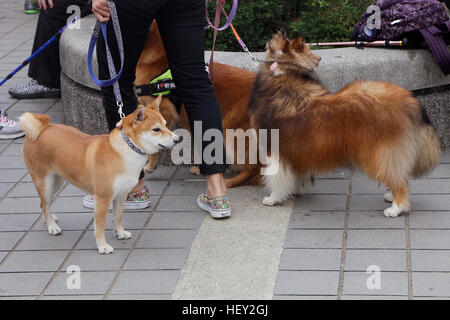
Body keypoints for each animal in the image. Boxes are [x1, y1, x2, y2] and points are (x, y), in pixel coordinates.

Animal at [21, 96, 178, 254]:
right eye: (156, 129)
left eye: (166, 125)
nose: (178, 139)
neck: (126, 150)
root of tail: (42, 129)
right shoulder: (103, 199)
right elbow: (100, 226)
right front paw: (102, 246)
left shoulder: (121, 195)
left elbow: (118, 217)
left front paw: (120, 232)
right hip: (45, 183)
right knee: (45, 204)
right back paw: (52, 226)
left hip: (57, 181)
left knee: (43, 204)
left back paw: (52, 219)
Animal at [248, 31, 442, 218]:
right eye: (309, 50)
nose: (320, 58)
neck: (286, 73)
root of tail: (410, 101)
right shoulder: (297, 151)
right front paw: (295, 190)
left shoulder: (274, 149)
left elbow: (276, 177)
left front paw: (273, 198)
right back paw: (390, 197)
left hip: (379, 153)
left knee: (399, 181)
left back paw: (396, 209)